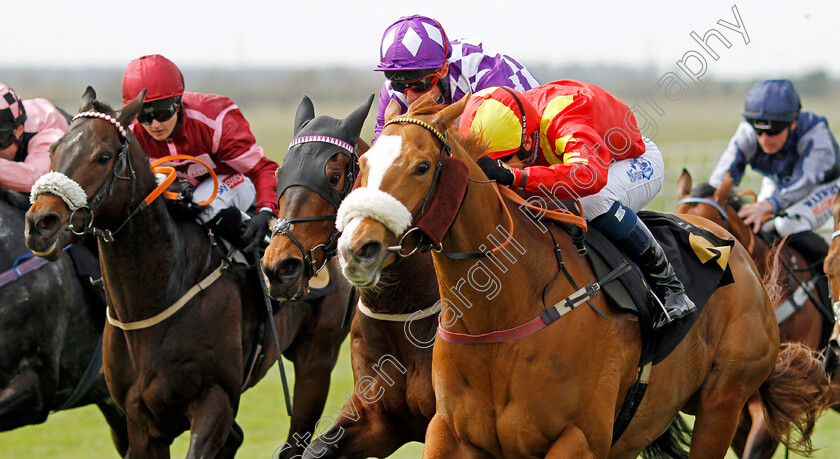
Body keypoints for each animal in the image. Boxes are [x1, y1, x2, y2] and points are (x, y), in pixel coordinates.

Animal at [23, 88, 352, 458]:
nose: (41, 223)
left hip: (317, 359)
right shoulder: (140, 421)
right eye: (53, 149)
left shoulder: (215, 400)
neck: (155, 299)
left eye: (103, 156)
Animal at [262, 95, 440, 458]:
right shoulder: (377, 418)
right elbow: (315, 449)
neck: (406, 306)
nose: (279, 267)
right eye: (278, 174)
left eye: (332, 176)